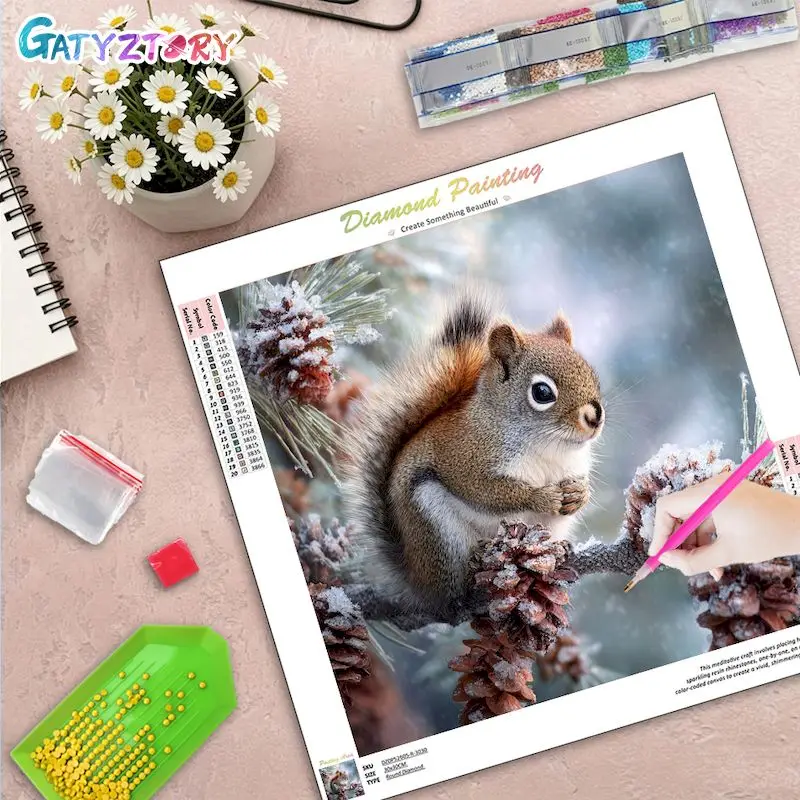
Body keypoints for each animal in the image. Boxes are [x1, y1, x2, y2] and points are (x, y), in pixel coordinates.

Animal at [345, 291, 604, 615]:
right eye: (542, 393)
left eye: (591, 374)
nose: (595, 417)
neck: (547, 445)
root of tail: (417, 582)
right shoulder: (465, 456)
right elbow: (482, 490)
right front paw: (541, 497)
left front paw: (580, 494)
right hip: (436, 528)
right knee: (450, 589)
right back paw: (471, 573)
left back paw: (557, 549)